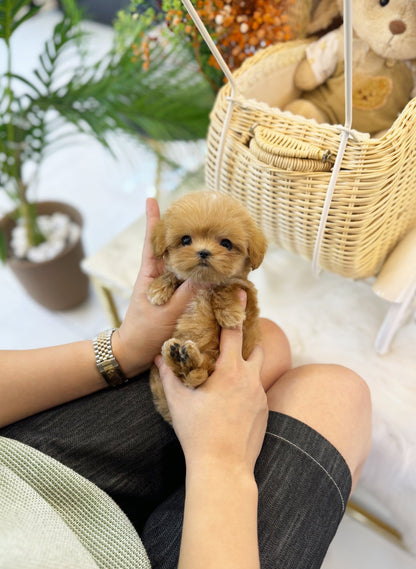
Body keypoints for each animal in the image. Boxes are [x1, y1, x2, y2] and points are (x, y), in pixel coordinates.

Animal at [148, 191, 268, 422]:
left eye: (226, 243)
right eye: (186, 239)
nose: (203, 252)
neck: (204, 283)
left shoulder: (246, 293)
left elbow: (227, 287)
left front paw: (230, 313)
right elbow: (174, 275)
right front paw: (158, 288)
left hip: (211, 360)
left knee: (198, 372)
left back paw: (185, 358)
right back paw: (177, 355)